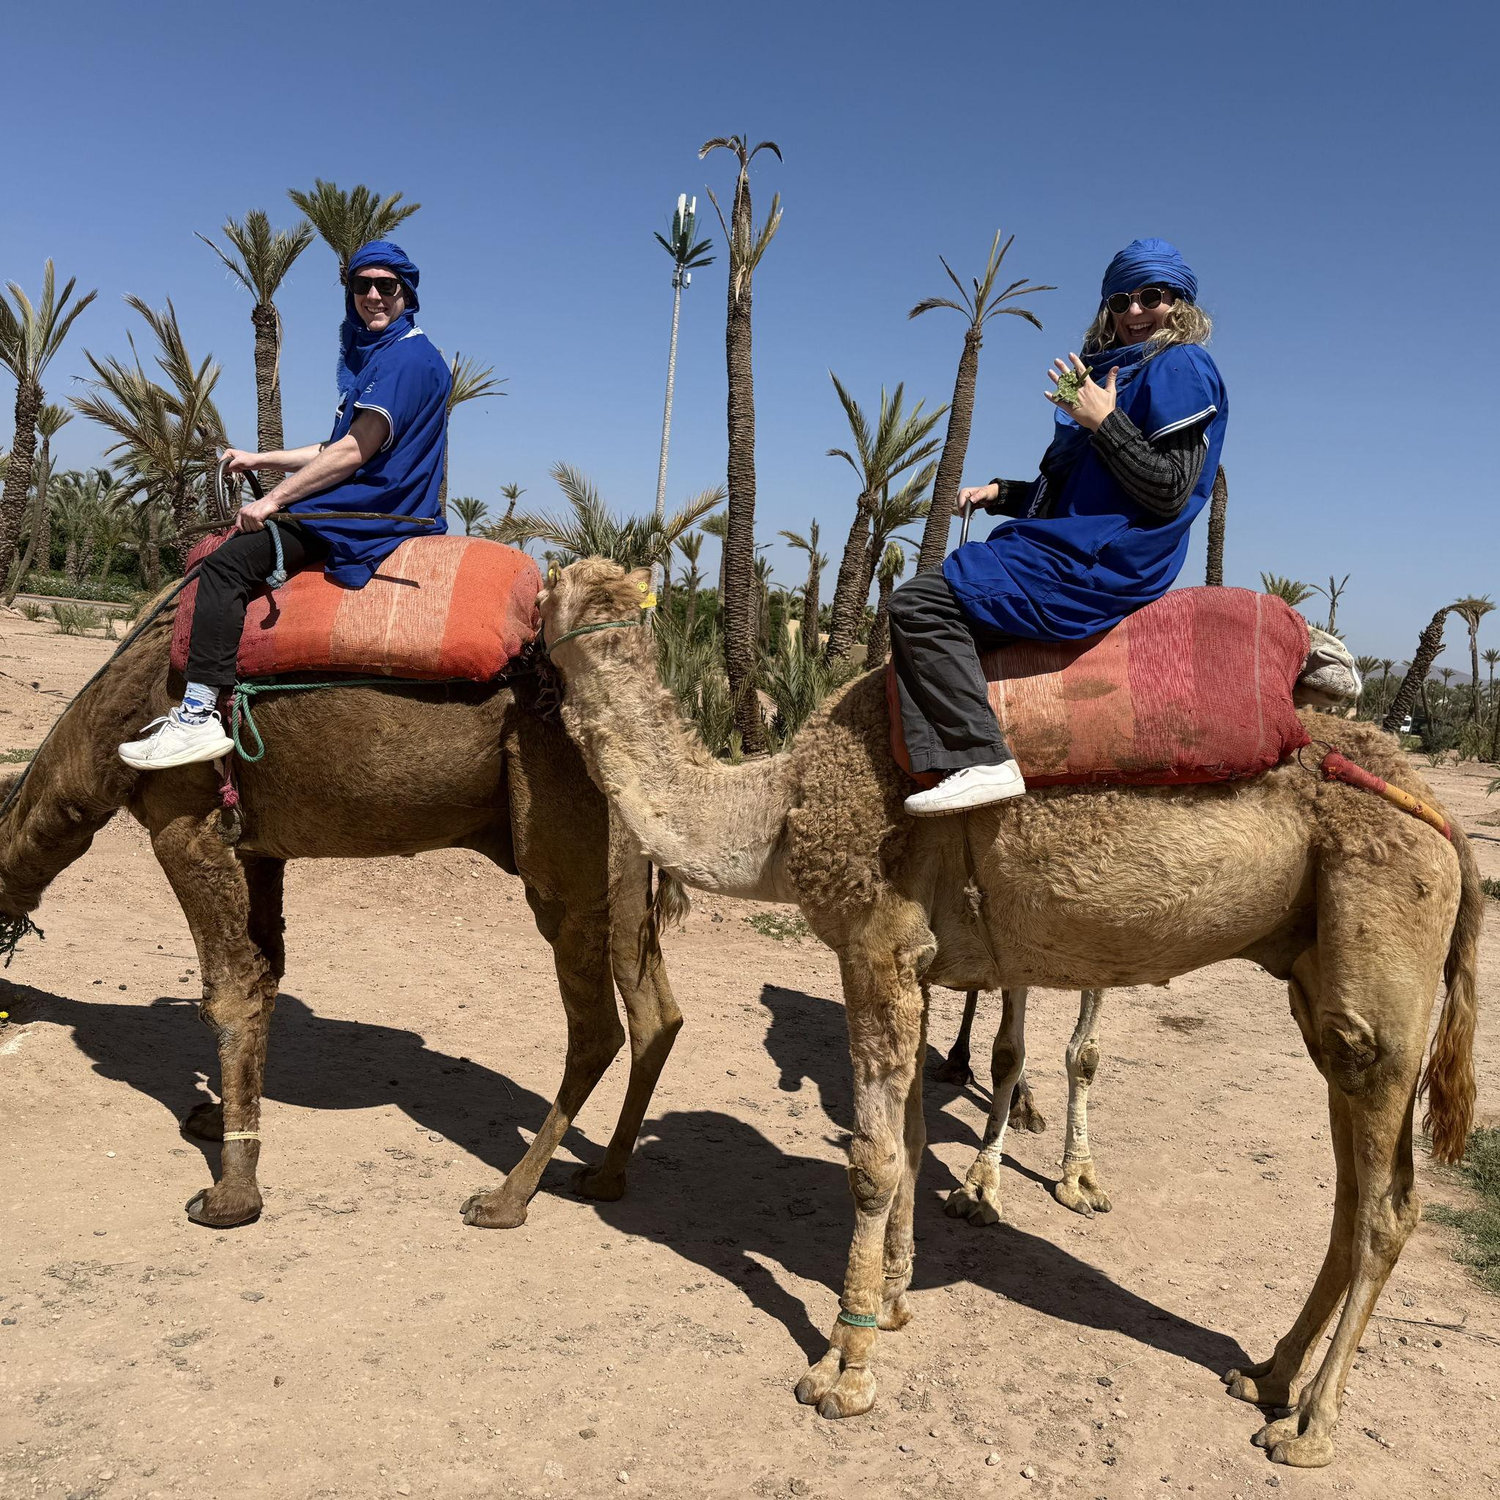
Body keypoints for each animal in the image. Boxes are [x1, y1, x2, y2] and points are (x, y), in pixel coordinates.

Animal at [0, 604, 683, 1231]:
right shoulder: (257, 848)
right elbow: (265, 974)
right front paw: (218, 1119)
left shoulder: (184, 823)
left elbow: (230, 991)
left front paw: (231, 1195)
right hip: (621, 850)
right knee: (656, 1012)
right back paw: (604, 1177)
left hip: (557, 830)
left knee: (597, 1027)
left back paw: (504, 1198)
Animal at [538, 557, 1483, 1470]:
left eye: (547, 588)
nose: (520, 633)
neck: (780, 805)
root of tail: (1446, 821)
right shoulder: (915, 964)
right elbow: (914, 1135)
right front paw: (896, 1300)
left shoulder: (873, 944)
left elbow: (872, 1160)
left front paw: (845, 1367)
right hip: (1316, 972)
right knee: (1350, 1187)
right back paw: (1268, 1374)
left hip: (1383, 940)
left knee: (1387, 1202)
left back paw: (1311, 1427)